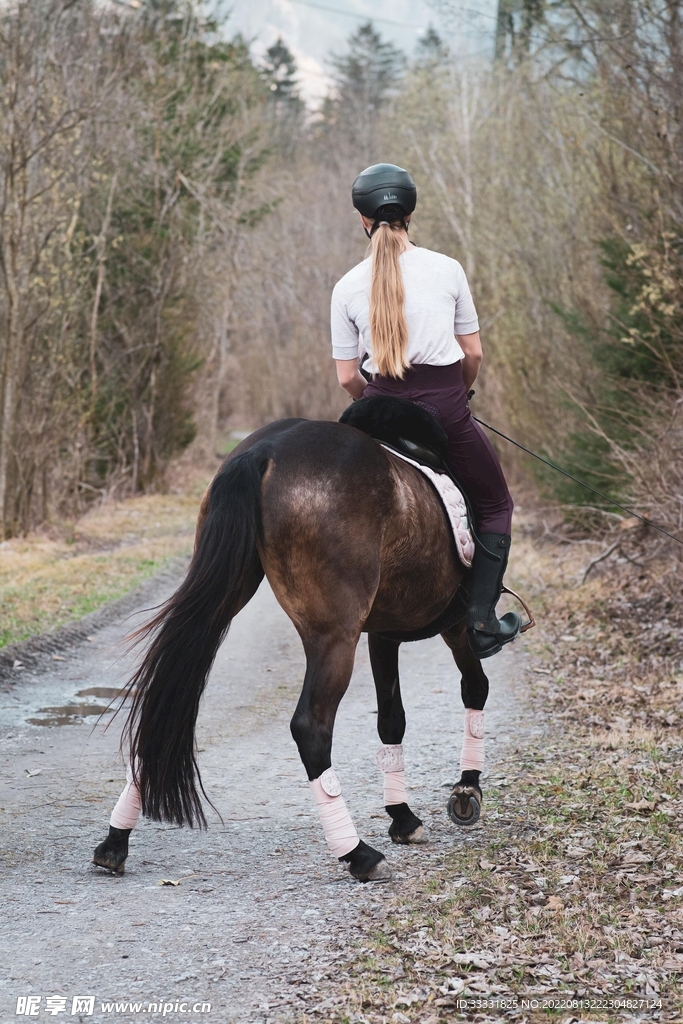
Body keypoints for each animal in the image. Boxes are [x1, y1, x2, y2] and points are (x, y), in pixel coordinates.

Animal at [92, 410, 493, 882]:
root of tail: (264, 452)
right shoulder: (455, 626)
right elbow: (474, 688)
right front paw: (467, 789)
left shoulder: (383, 633)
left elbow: (392, 720)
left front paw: (403, 816)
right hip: (334, 637)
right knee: (311, 727)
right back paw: (357, 853)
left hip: (227, 594)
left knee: (170, 693)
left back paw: (115, 842)